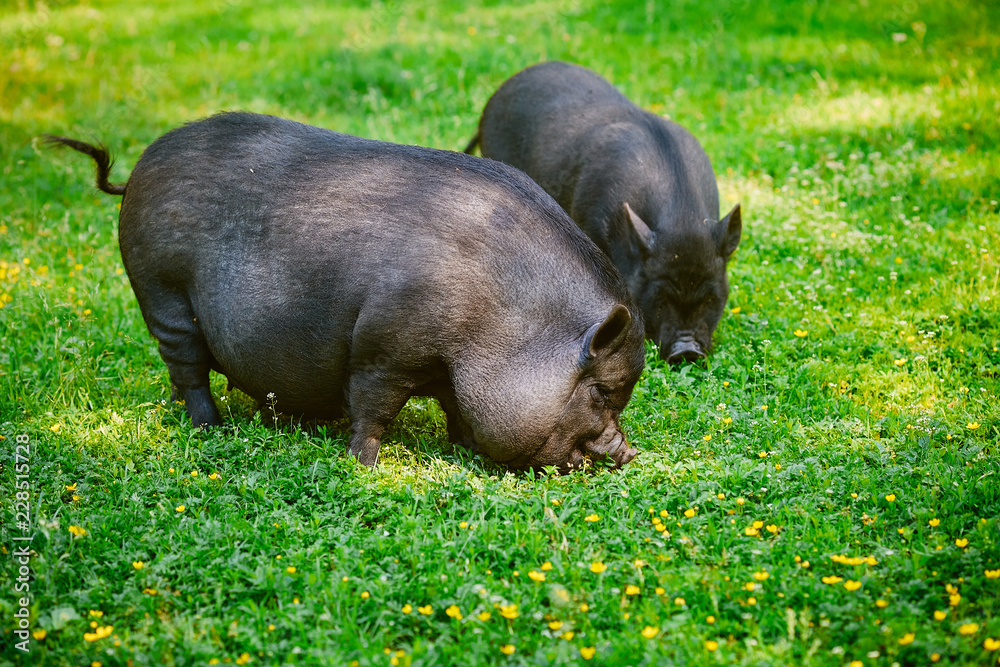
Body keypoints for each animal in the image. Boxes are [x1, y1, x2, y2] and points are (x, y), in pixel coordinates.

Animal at [45, 111, 646, 470]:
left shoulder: (446, 368)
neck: (501, 320)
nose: (627, 452)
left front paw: (460, 448)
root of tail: (133, 174)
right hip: (162, 291)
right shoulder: (384, 345)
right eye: (604, 391)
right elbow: (373, 405)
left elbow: (456, 409)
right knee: (188, 367)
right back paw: (209, 428)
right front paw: (365, 465)